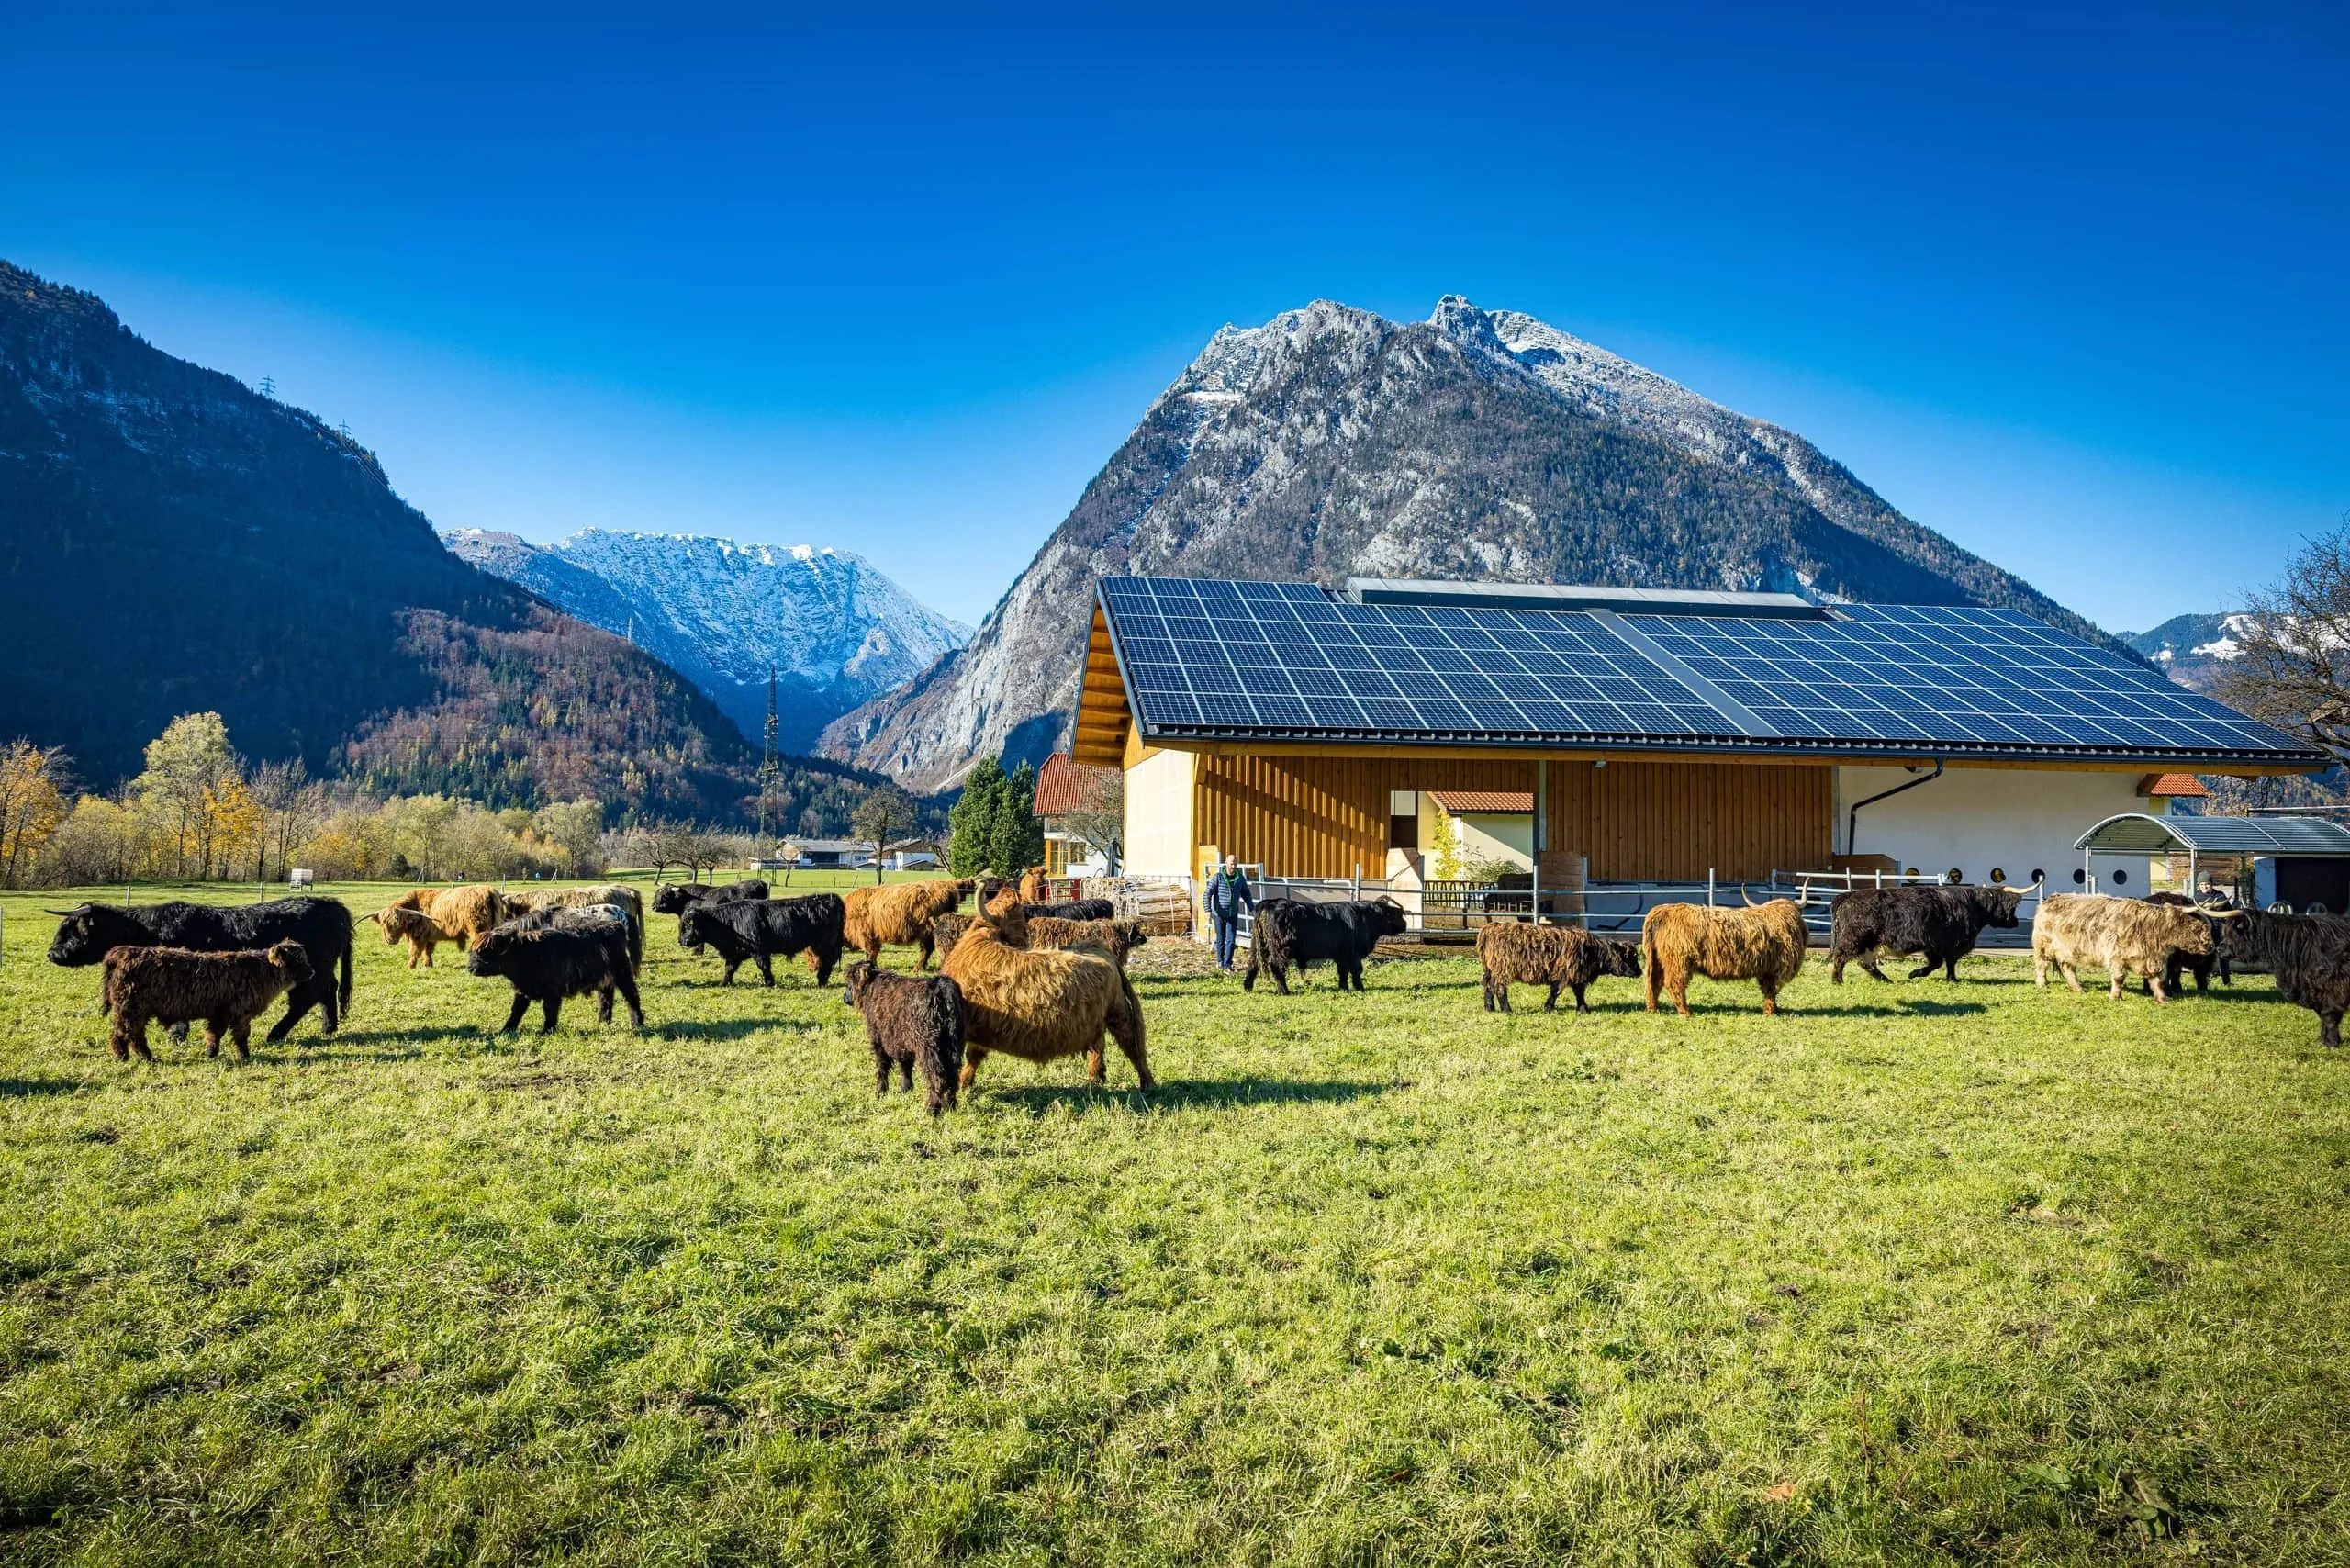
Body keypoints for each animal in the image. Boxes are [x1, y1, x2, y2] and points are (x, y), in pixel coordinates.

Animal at [103, 945, 315, 1067]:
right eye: (297, 959)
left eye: (304, 958)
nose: (312, 971)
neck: (261, 972)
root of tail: (125, 952)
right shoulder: (240, 1013)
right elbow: (240, 1036)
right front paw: (244, 1056)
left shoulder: (220, 1014)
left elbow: (215, 1034)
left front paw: (210, 1053)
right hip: (130, 1009)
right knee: (122, 1033)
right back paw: (123, 1057)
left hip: (138, 1011)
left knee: (135, 1036)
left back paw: (147, 1057)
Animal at [841, 958, 968, 1114]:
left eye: (849, 984)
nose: (844, 998)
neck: (872, 989)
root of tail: (941, 987)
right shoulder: (901, 1041)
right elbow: (905, 1066)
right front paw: (905, 1089)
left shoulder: (878, 1039)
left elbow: (882, 1066)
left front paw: (880, 1092)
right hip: (953, 1044)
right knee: (952, 1076)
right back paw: (950, 1106)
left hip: (928, 1047)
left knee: (937, 1078)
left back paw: (931, 1109)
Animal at [940, 893, 1151, 1091]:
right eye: (1019, 924)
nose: (1026, 940)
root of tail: (1100, 948)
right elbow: (974, 1055)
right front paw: (965, 1084)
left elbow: (971, 1055)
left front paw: (962, 1084)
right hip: (1097, 1019)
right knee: (1098, 1044)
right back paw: (1096, 1077)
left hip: (1119, 1013)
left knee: (1132, 1045)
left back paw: (1147, 1085)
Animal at [1475, 921, 1645, 1020]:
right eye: (1628, 957)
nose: (1640, 972)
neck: (1592, 952)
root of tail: (1489, 928)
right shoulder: (1564, 974)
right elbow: (1555, 992)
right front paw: (1548, 1008)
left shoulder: (1577, 977)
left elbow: (1579, 994)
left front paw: (1583, 1009)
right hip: (1502, 969)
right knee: (1499, 988)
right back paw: (1507, 1010)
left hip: (1489, 968)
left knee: (1487, 985)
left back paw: (1490, 1008)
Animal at [1645, 893, 1805, 1020]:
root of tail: (1662, 910)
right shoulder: (1774, 969)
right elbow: (1771, 991)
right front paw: (1770, 1011)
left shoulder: (1766, 970)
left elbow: (1768, 990)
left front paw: (1774, 1009)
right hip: (1679, 961)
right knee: (1674, 984)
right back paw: (1686, 1012)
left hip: (1656, 960)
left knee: (1654, 982)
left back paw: (1653, 1009)